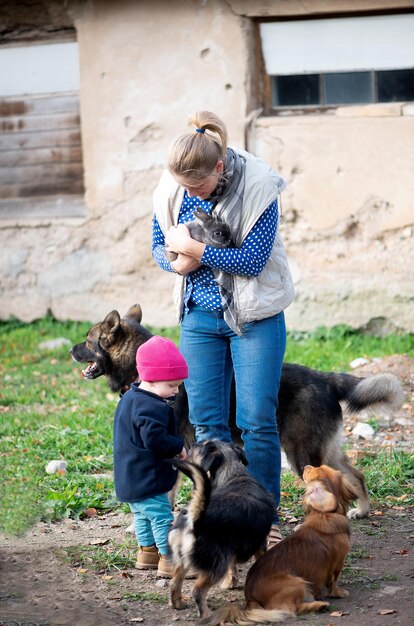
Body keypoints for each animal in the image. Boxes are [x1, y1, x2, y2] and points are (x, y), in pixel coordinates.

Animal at [71, 304, 404, 516]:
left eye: (87, 340)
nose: (71, 350)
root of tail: (325, 378)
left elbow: (165, 495)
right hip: (323, 450)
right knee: (356, 474)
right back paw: (362, 510)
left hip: (302, 454)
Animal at [168, 442, 274, 616]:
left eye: (198, 448)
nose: (190, 444)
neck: (233, 474)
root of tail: (194, 520)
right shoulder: (259, 542)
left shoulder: (232, 548)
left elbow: (233, 566)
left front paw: (230, 582)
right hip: (217, 564)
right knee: (197, 591)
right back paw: (206, 615)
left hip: (184, 560)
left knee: (175, 582)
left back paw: (178, 603)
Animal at [203, 464, 360, 624]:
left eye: (320, 467)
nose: (306, 466)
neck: (325, 514)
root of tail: (251, 600)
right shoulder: (338, 563)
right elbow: (334, 580)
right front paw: (339, 592)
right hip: (297, 582)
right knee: (294, 609)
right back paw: (319, 605)